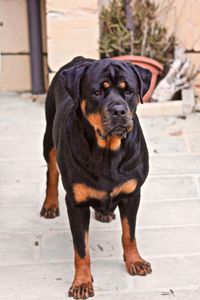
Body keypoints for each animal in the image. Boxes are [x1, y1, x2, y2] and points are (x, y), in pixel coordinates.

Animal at [41, 56, 153, 298]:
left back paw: (104, 213)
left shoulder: (132, 194)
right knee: (52, 171)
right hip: (49, 137)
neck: (107, 150)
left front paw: (135, 261)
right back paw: (50, 205)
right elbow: (81, 248)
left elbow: (129, 234)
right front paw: (82, 282)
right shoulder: (76, 203)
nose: (118, 110)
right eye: (97, 92)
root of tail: (78, 59)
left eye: (128, 91)